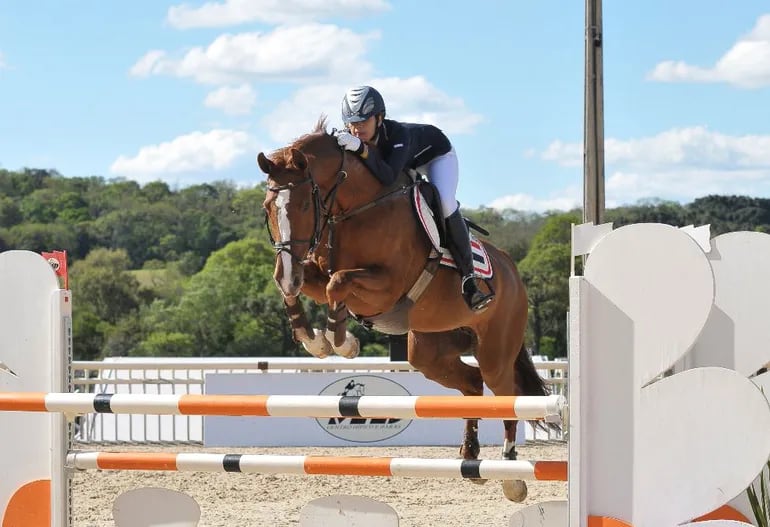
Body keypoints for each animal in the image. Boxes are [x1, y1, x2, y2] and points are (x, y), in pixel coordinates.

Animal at [258, 116, 544, 504]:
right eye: (267, 208)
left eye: (303, 206)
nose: (289, 271)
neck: (354, 209)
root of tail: (512, 271)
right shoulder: (314, 272)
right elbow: (305, 286)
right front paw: (313, 338)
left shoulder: (386, 286)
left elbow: (338, 284)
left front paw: (341, 342)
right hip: (428, 350)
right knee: (472, 383)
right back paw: (470, 457)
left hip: (496, 350)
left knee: (505, 393)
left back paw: (511, 475)